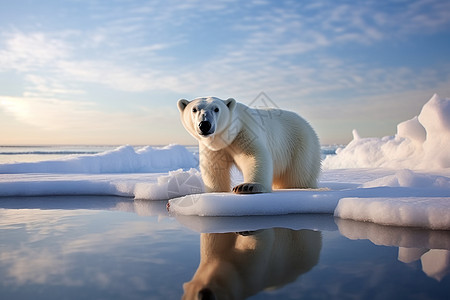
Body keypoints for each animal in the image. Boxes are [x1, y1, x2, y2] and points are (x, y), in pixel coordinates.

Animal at [178, 97, 322, 193]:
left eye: (216, 109)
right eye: (194, 109)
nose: (204, 124)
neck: (227, 137)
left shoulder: (245, 131)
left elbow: (254, 156)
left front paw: (246, 186)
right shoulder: (213, 148)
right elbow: (214, 167)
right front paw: (216, 191)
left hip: (300, 146)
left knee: (299, 176)